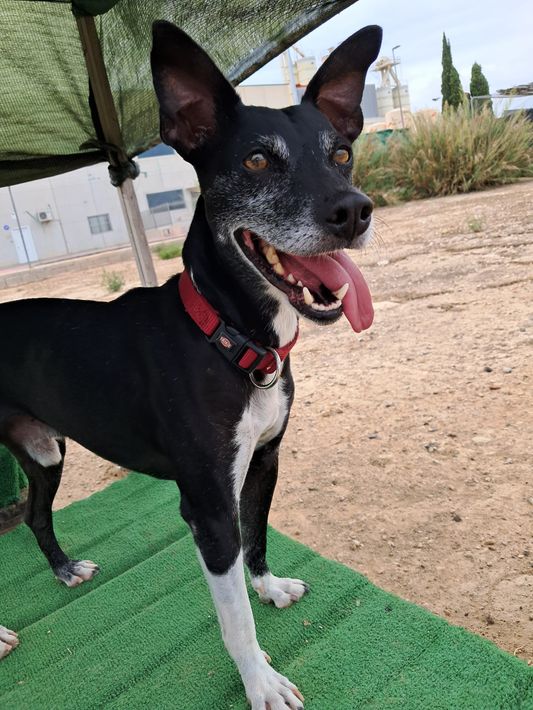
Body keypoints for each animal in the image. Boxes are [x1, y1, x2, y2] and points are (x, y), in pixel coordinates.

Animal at [0, 20, 382, 708]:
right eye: (256, 160)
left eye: (341, 153)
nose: (353, 211)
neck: (230, 337)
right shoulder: (206, 509)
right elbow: (235, 619)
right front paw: (260, 681)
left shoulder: (264, 462)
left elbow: (258, 537)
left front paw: (269, 587)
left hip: (44, 451)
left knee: (38, 515)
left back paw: (65, 569)